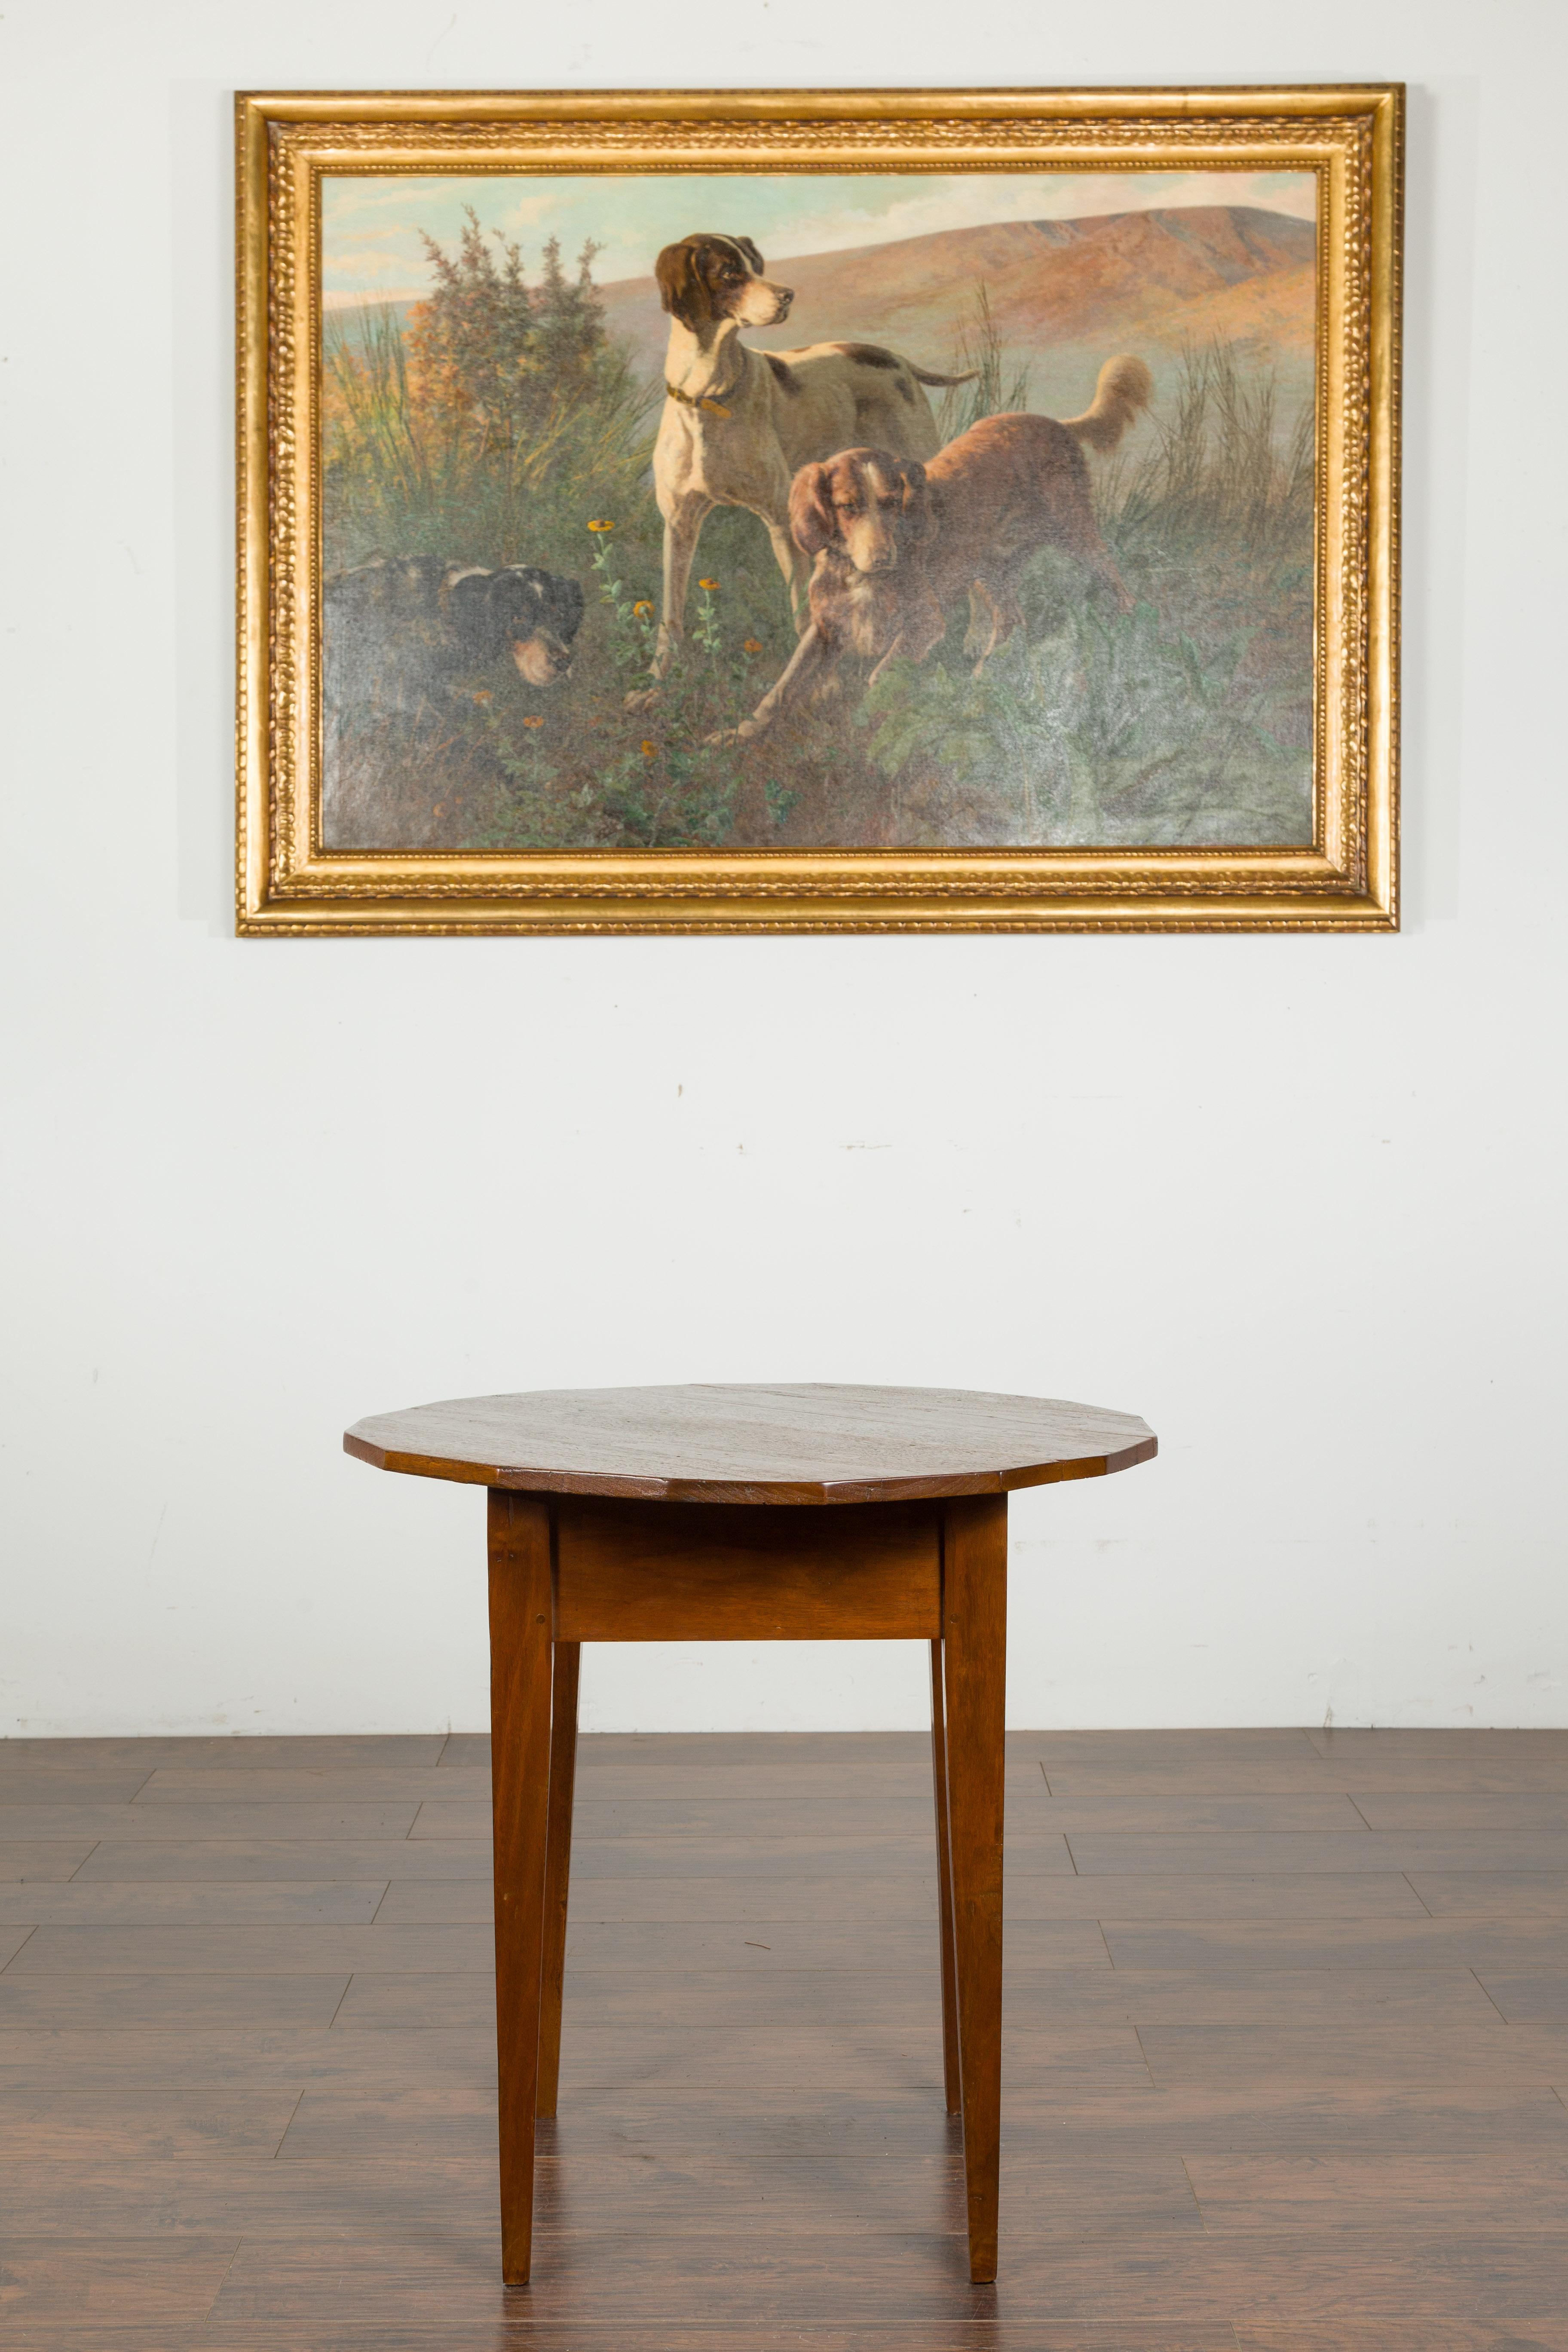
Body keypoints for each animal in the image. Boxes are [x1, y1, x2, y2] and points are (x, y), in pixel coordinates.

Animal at [630, 233, 973, 701]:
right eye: (729, 272)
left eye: (755, 265)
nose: (787, 295)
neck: (710, 394)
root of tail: (895, 358)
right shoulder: (679, 525)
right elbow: (671, 614)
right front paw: (657, 682)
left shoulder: (781, 525)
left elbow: (802, 614)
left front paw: (817, 685)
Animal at [719, 352, 1161, 738]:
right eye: (848, 506)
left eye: (892, 502)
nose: (882, 558)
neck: (861, 578)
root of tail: (1057, 424)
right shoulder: (826, 629)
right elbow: (782, 689)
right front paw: (737, 736)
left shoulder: (923, 623)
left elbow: (880, 677)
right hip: (989, 570)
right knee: (1010, 621)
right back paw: (982, 679)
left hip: (1074, 533)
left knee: (1115, 583)